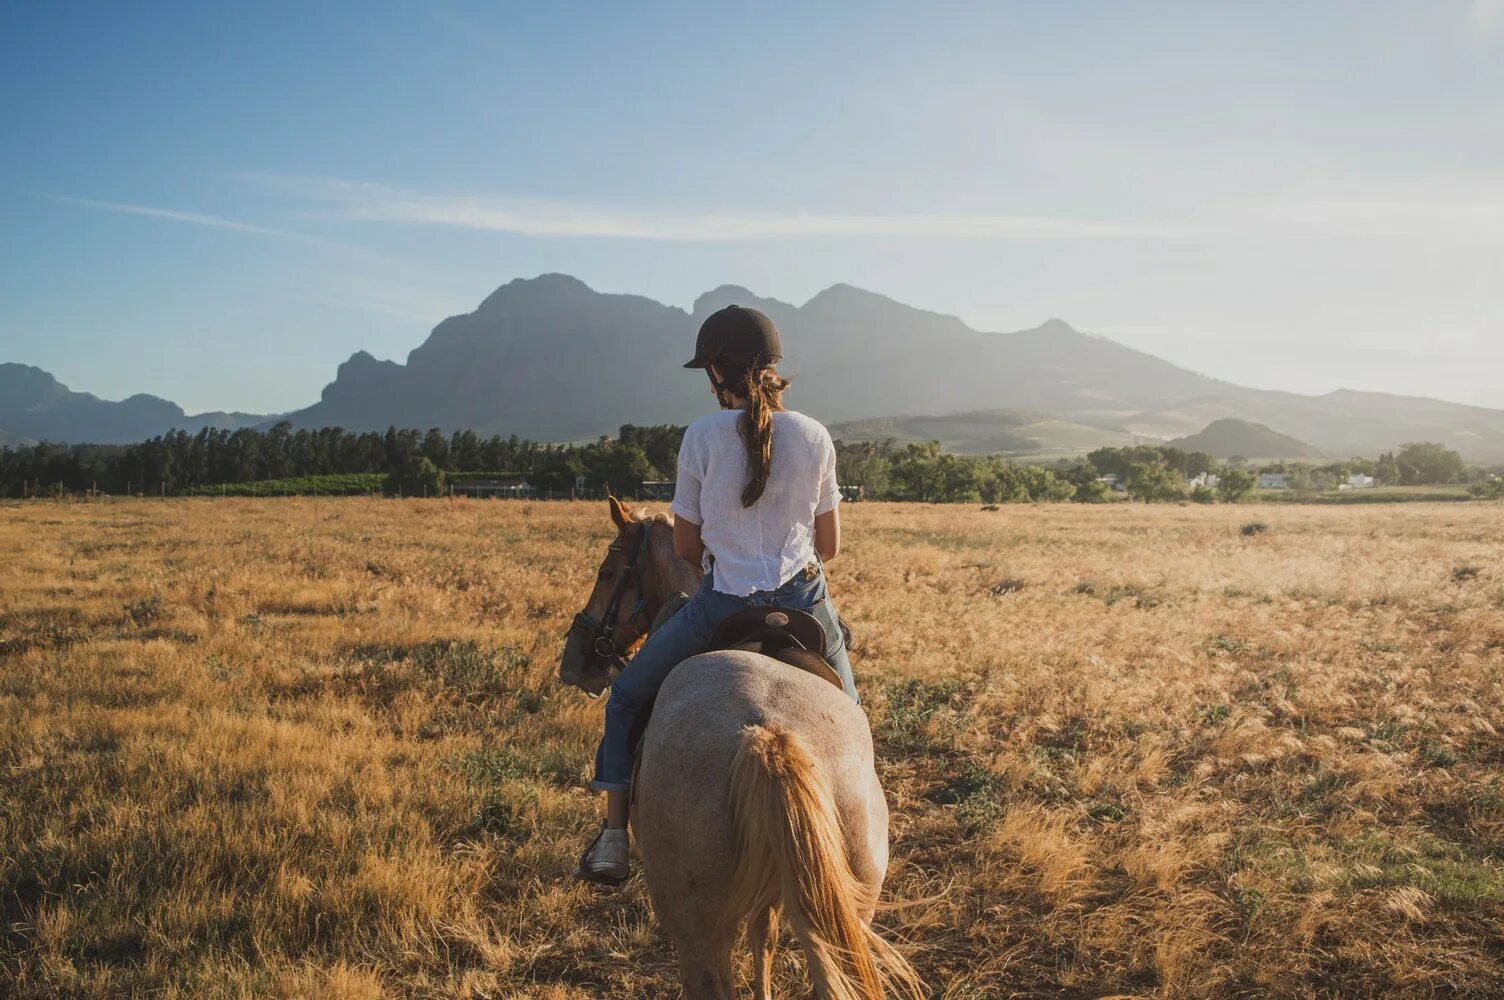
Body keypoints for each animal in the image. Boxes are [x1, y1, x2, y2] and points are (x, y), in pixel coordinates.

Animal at [562, 499, 920, 998]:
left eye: (607, 571)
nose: (576, 663)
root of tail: (769, 734)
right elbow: (765, 936)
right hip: (849, 905)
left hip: (695, 925)